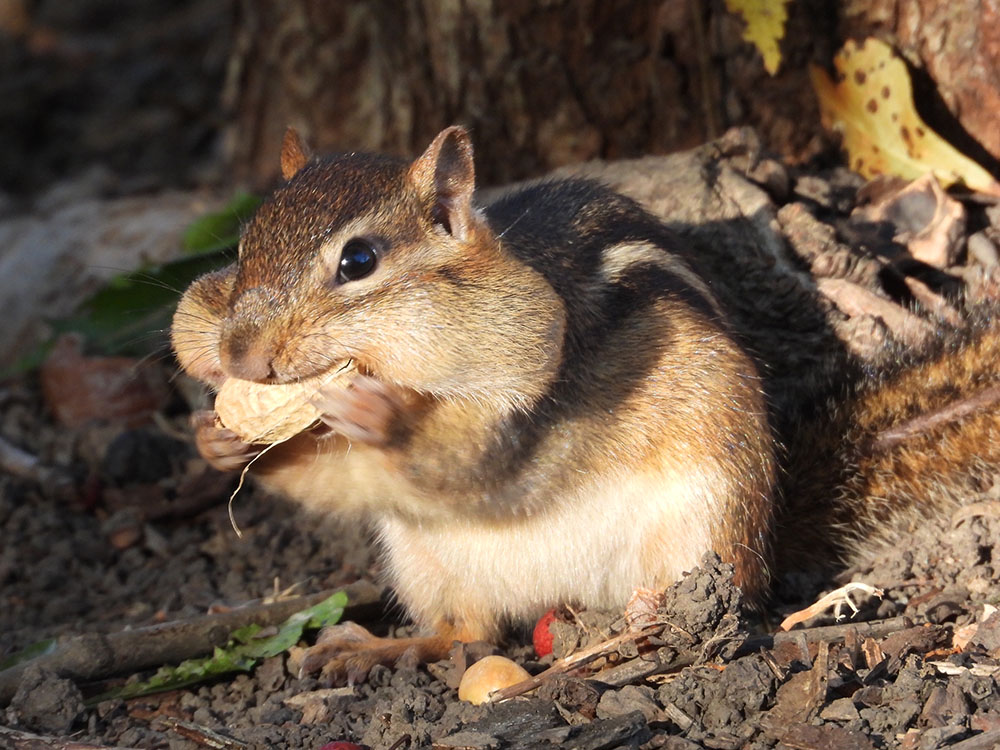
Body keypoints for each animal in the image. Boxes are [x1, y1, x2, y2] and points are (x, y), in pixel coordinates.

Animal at [171, 126, 1000, 682]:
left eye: (359, 260)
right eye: (243, 247)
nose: (237, 353)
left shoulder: (534, 408)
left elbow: (472, 463)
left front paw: (388, 419)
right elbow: (327, 478)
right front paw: (215, 442)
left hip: (710, 520)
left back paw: (645, 626)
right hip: (425, 563)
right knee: (467, 635)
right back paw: (384, 646)